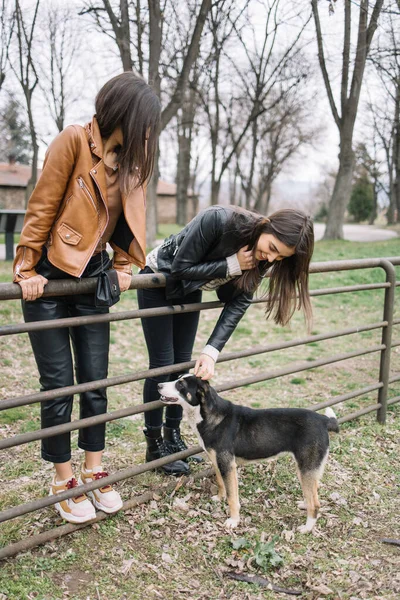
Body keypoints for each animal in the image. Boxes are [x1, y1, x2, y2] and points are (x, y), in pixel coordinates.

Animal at [158, 376, 340, 536]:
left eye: (180, 384)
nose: (158, 385)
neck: (209, 414)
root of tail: (324, 420)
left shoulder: (228, 465)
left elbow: (233, 498)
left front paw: (233, 521)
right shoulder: (218, 462)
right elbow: (221, 483)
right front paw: (220, 497)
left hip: (306, 468)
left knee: (315, 503)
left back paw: (307, 528)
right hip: (305, 469)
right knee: (313, 492)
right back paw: (304, 504)